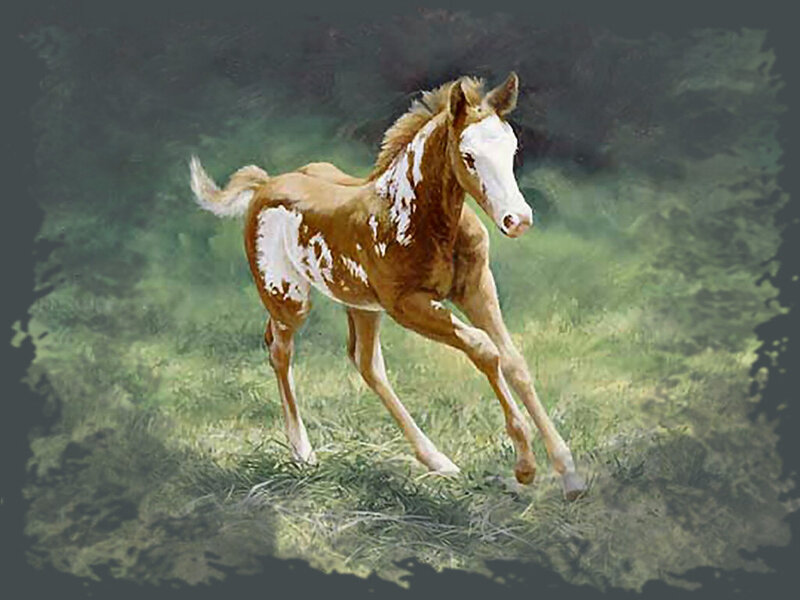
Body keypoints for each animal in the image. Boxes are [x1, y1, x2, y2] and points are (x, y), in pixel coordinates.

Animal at [189, 73, 586, 500]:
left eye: (512, 150)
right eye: (468, 157)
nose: (518, 220)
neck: (420, 218)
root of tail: (265, 184)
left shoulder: (476, 287)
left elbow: (513, 361)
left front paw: (569, 472)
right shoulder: (407, 305)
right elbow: (484, 348)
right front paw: (525, 466)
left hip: (360, 305)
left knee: (366, 363)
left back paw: (439, 462)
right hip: (289, 298)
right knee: (280, 351)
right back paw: (304, 453)